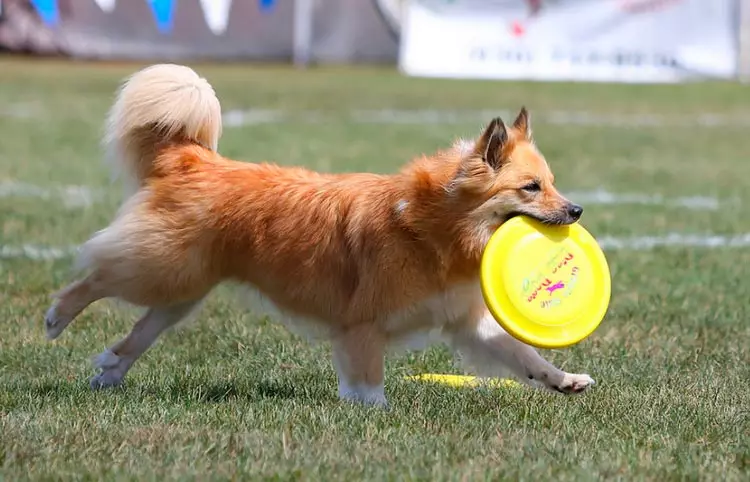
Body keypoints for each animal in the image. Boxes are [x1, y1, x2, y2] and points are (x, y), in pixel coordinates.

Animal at [44, 62, 596, 404]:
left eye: (551, 182)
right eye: (531, 188)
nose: (576, 209)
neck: (431, 227)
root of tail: (193, 158)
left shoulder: (467, 324)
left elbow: (523, 355)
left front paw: (564, 380)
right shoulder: (362, 324)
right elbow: (366, 381)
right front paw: (372, 412)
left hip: (183, 290)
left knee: (136, 333)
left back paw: (109, 372)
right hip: (165, 269)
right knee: (96, 276)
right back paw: (57, 317)